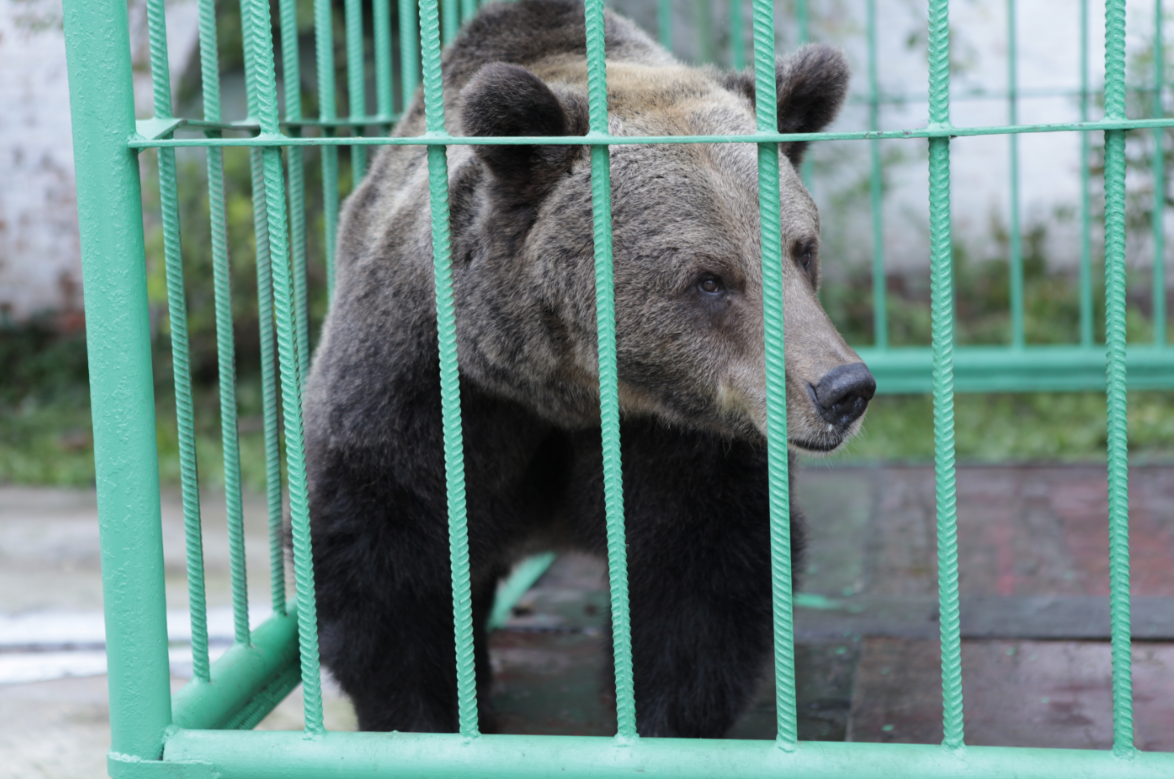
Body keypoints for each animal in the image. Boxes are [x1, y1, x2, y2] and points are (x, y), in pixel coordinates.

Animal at [302, 0, 873, 741]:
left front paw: (660, 718)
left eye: (801, 250)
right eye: (710, 280)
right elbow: (385, 562)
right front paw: (431, 717)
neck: (565, 388)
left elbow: (700, 571)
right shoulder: (423, 385)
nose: (842, 389)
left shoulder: (684, 436)